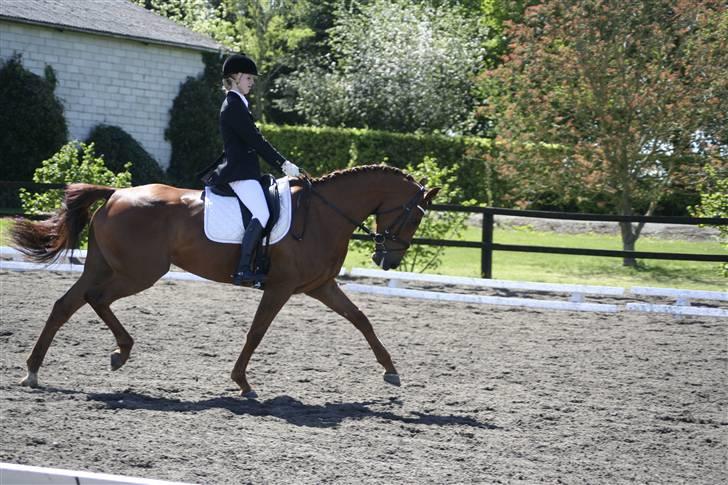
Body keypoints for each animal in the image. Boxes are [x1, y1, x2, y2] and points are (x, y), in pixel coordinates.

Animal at [11, 164, 440, 396]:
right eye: (414, 216)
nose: (387, 259)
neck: (323, 215)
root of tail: (116, 193)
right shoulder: (281, 287)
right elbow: (257, 332)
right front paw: (242, 382)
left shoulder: (321, 286)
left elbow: (361, 319)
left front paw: (391, 370)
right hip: (139, 272)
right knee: (96, 299)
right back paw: (120, 352)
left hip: (105, 267)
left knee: (66, 305)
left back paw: (33, 371)